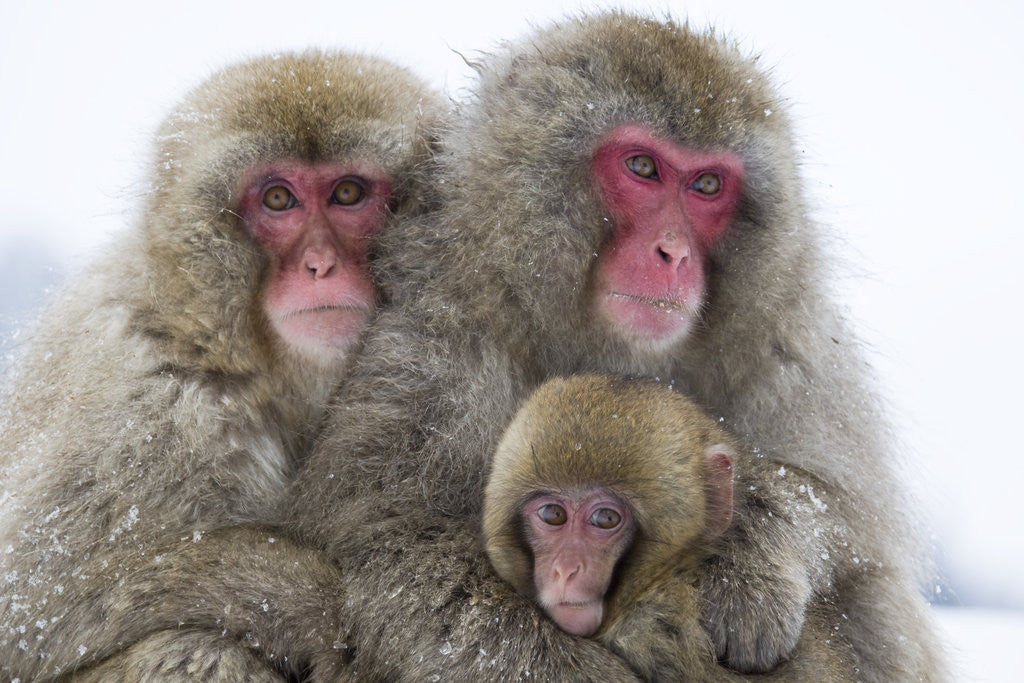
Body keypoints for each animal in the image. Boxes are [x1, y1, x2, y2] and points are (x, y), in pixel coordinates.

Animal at [0, 50, 444, 680]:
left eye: (348, 192)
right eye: (278, 199)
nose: (320, 264)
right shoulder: (148, 417)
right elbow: (31, 614)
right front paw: (316, 606)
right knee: (193, 647)